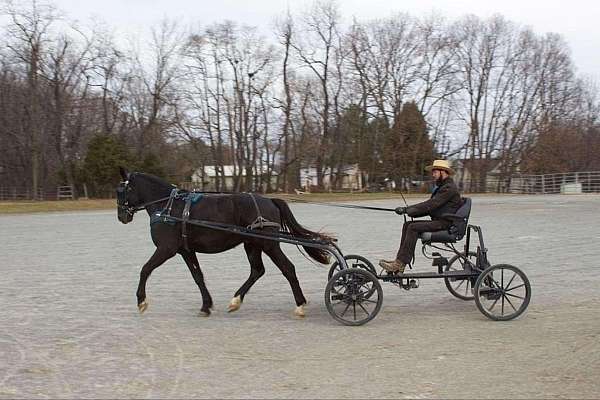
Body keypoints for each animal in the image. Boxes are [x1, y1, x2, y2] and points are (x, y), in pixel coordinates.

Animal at [116, 167, 332, 318]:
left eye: (121, 190)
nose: (121, 216)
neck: (168, 207)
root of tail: (269, 200)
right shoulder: (186, 250)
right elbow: (198, 277)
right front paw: (206, 306)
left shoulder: (166, 249)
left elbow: (145, 269)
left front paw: (141, 301)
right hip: (252, 244)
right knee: (257, 271)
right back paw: (236, 301)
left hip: (268, 244)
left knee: (288, 268)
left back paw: (300, 305)